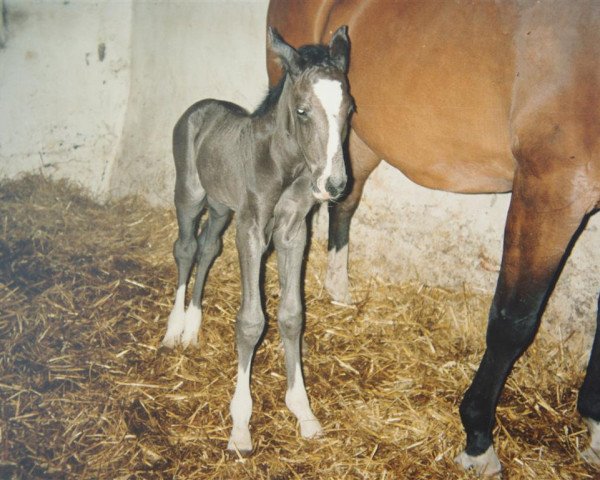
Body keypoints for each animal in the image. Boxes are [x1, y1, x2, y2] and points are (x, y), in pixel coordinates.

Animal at [162, 27, 354, 454]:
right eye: (302, 110)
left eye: (349, 110)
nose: (334, 185)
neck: (286, 165)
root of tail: (201, 107)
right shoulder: (250, 229)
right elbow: (251, 322)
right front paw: (240, 427)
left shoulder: (293, 232)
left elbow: (292, 315)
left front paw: (304, 413)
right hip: (190, 194)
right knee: (185, 248)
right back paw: (173, 328)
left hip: (220, 207)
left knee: (207, 248)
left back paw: (193, 327)